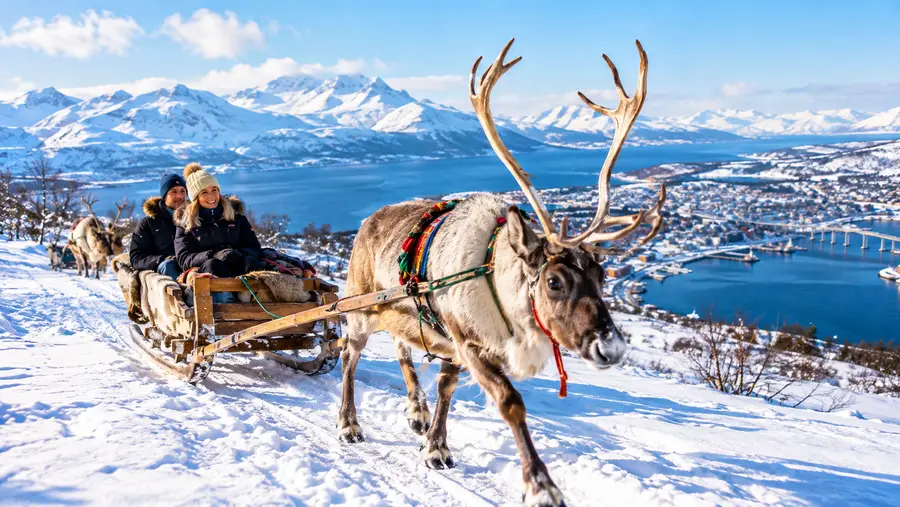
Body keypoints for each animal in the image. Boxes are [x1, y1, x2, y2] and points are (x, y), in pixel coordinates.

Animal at [337, 38, 665, 506]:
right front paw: (541, 484)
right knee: (348, 356)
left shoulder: (453, 345)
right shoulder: (468, 342)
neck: (499, 285)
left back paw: (416, 411)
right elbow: (510, 402)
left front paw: (435, 445)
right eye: (554, 281)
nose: (613, 348)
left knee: (402, 352)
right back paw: (349, 424)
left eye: (603, 277)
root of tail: (366, 222)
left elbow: (446, 388)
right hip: (359, 308)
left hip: (399, 314)